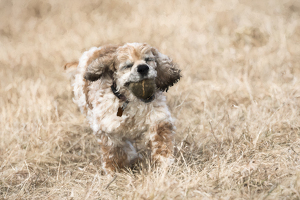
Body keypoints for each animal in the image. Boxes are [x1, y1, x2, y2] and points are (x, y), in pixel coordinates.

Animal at [64, 42, 180, 173]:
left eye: (148, 59)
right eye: (127, 66)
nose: (143, 68)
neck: (131, 100)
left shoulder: (158, 120)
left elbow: (161, 144)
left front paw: (164, 165)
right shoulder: (109, 130)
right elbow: (115, 153)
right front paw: (115, 171)